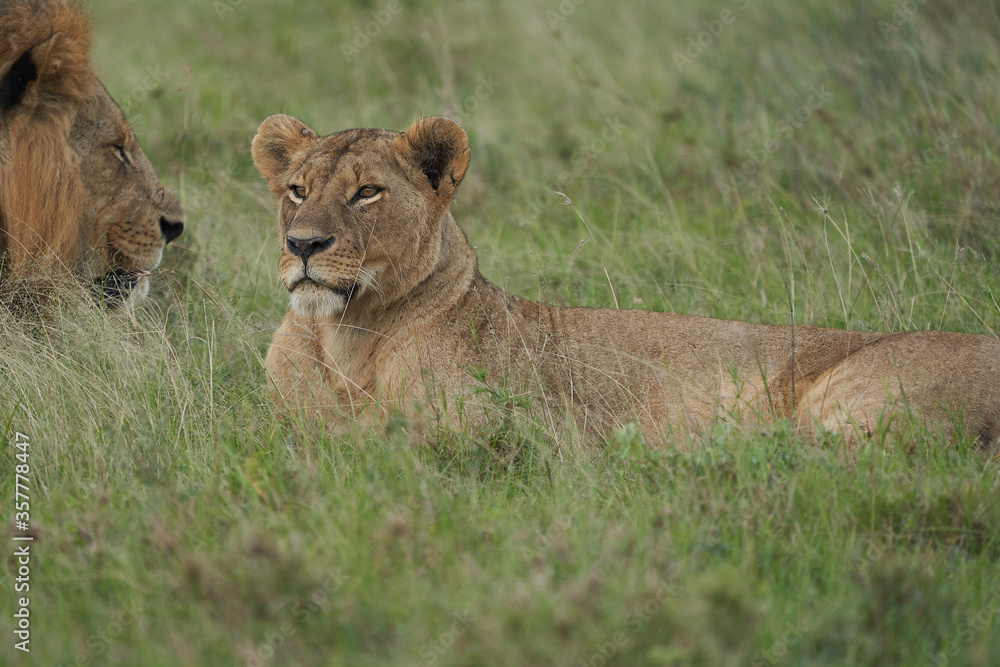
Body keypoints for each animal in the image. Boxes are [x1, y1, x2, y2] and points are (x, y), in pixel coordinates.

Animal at [253, 114, 1000, 446]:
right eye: (297, 190)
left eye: (368, 193)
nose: (304, 244)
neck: (347, 336)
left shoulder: (512, 430)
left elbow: (386, 436)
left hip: (853, 400)